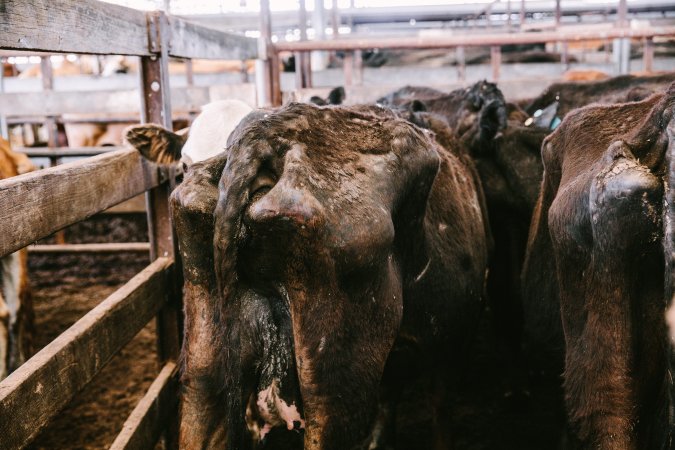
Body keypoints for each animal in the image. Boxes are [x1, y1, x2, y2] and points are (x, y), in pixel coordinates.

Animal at [125, 103, 492, 450]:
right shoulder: (453, 341)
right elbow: (439, 416)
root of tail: (264, 136)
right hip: (336, 392)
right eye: (182, 163)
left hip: (206, 374)